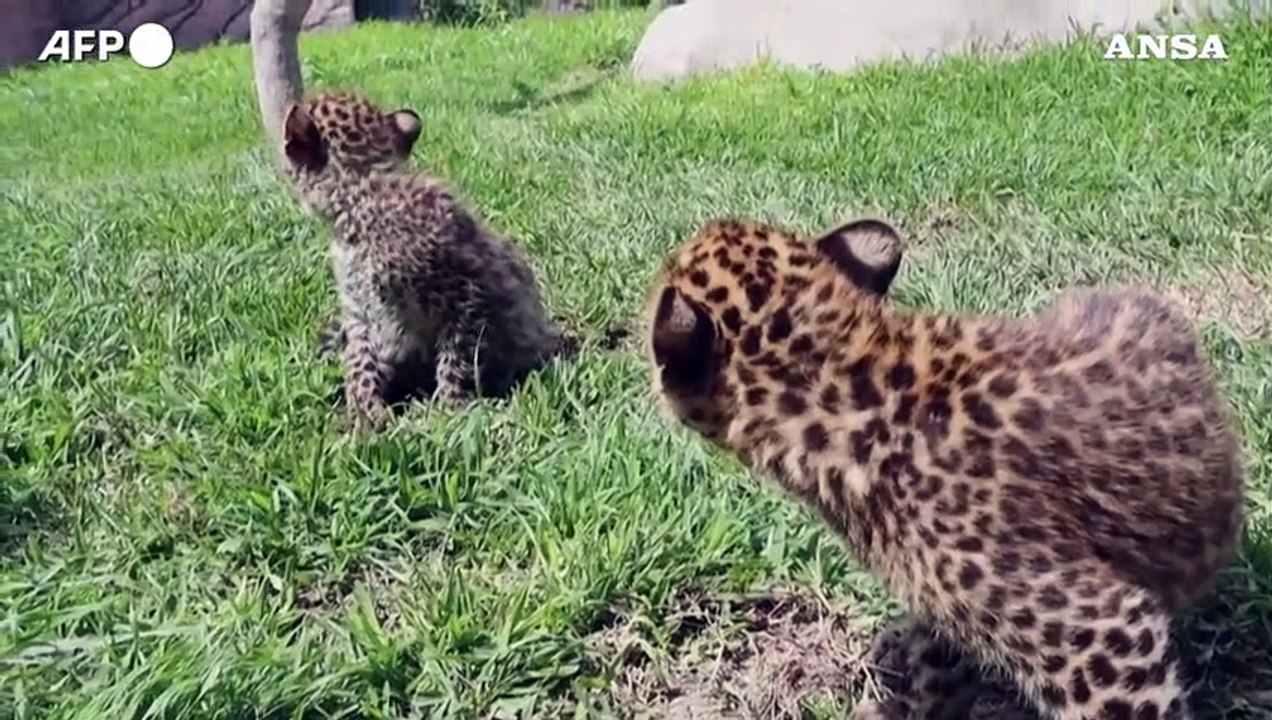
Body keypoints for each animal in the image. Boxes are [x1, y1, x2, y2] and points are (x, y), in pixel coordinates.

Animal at [280, 91, 568, 429]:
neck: (361, 192)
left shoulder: (466, 293)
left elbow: (457, 357)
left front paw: (453, 406)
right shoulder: (361, 313)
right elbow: (360, 361)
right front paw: (363, 411)